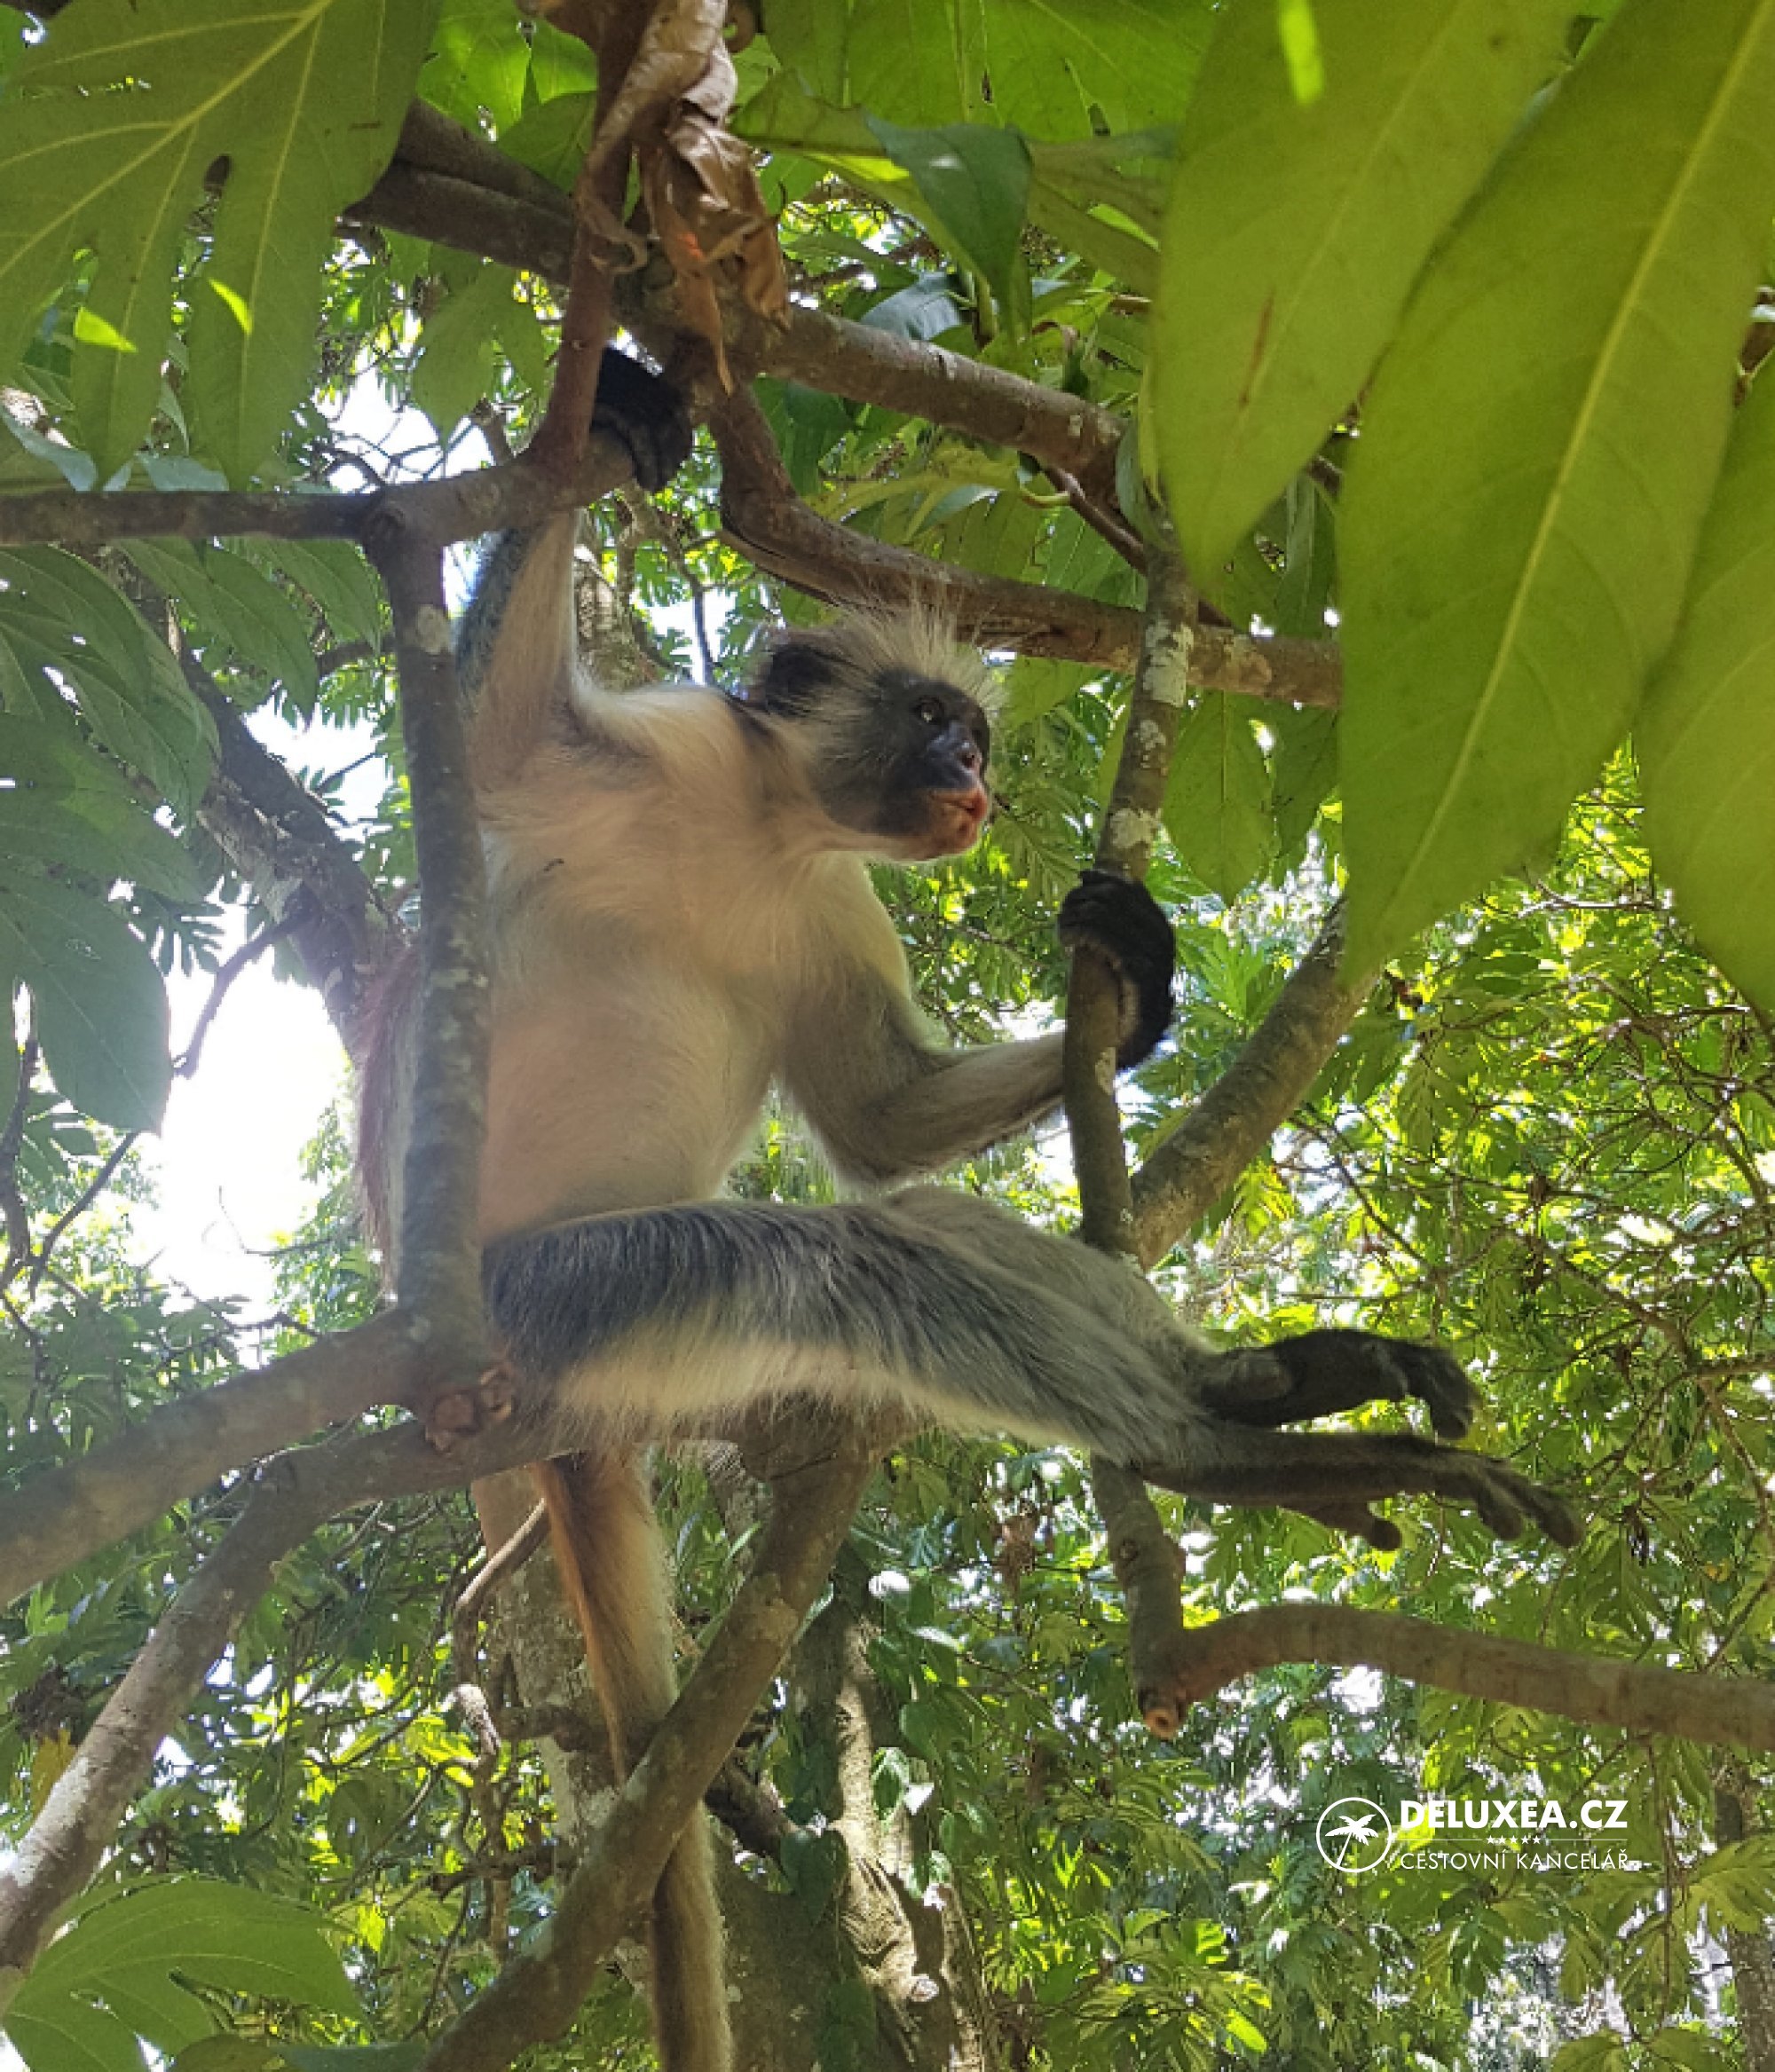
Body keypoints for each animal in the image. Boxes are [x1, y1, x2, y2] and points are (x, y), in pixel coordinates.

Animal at [357, 350, 1576, 2072]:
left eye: (977, 735)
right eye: (934, 722)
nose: (974, 779)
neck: (759, 829)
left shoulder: (828, 899)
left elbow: (882, 1125)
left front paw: (1138, 983)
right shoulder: (667, 754)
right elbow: (480, 737)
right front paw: (618, 411)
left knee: (927, 1224)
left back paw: (1270, 1387)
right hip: (565, 1304)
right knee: (850, 1256)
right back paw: (1212, 1456)